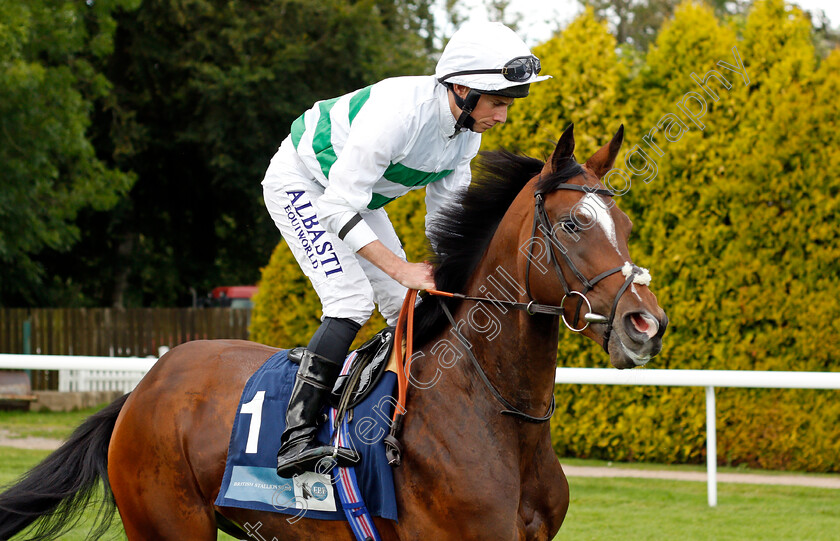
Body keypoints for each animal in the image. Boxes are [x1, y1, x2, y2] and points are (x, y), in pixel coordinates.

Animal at [1, 123, 668, 540]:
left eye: (628, 224)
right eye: (574, 223)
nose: (646, 323)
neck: (491, 411)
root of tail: (143, 388)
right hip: (166, 526)